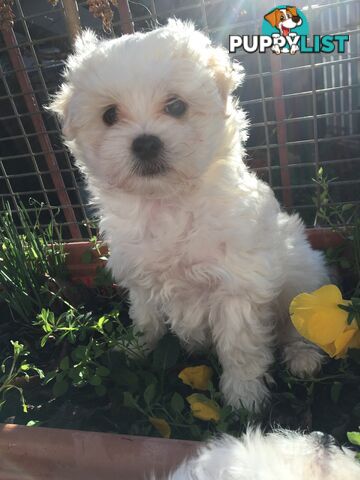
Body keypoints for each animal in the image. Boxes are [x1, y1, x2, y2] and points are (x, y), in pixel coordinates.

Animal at [50, 20, 330, 410]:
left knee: (297, 323)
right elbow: (147, 319)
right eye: (109, 115)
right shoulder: (141, 279)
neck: (169, 202)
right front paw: (135, 347)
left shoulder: (237, 286)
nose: (145, 142)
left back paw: (303, 357)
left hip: (301, 276)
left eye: (176, 106)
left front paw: (243, 396)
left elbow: (240, 346)